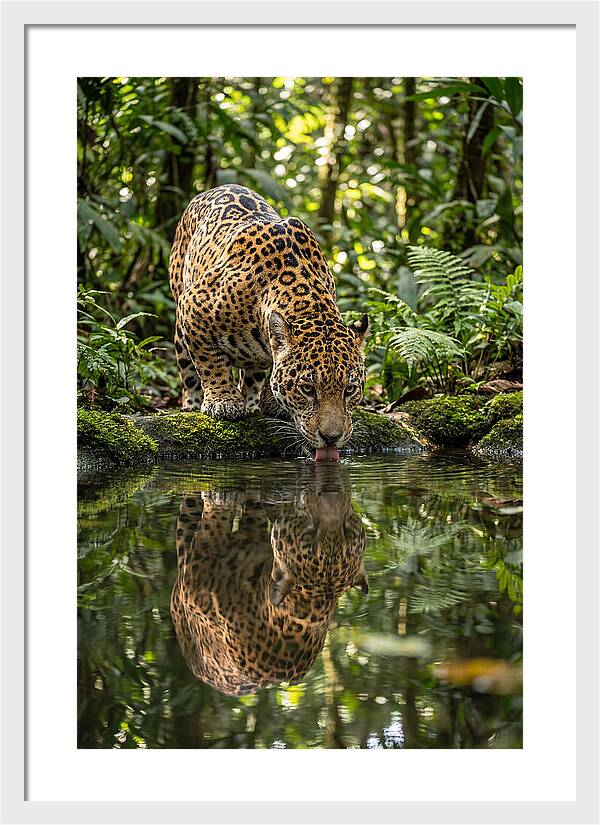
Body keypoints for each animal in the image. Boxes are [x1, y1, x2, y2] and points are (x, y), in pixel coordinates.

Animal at [168, 184, 369, 459]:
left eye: (349, 390)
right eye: (308, 389)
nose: (331, 438)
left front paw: (272, 402)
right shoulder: (192, 306)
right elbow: (210, 363)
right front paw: (224, 402)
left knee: (252, 373)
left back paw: (253, 402)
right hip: (180, 318)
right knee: (188, 370)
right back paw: (192, 403)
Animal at [169, 467, 368, 696]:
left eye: (348, 531)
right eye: (309, 535)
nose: (331, 493)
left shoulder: (195, 580)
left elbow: (215, 523)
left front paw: (222, 497)